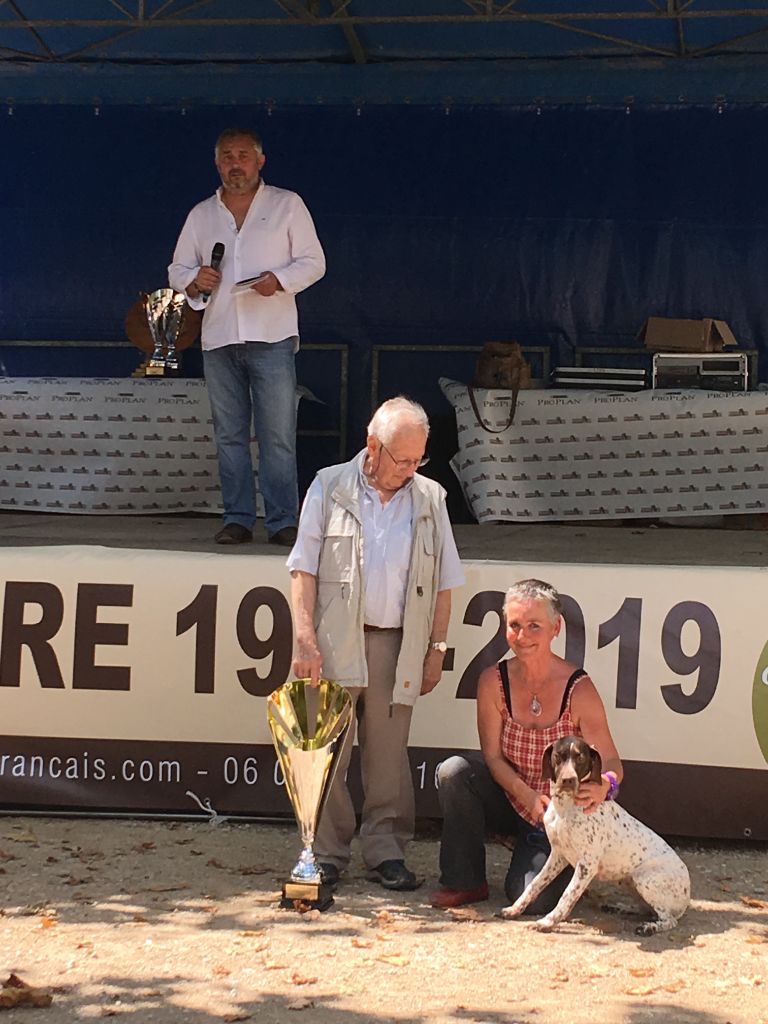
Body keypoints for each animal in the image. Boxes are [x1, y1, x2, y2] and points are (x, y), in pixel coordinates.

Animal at [501, 737, 696, 937]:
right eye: (558, 756)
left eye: (580, 758)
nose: (568, 780)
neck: (566, 808)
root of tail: (687, 890)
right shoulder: (558, 856)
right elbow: (534, 884)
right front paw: (515, 909)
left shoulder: (586, 866)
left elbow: (567, 895)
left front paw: (547, 921)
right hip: (628, 880)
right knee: (647, 909)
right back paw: (620, 908)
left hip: (644, 878)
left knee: (668, 919)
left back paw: (649, 927)